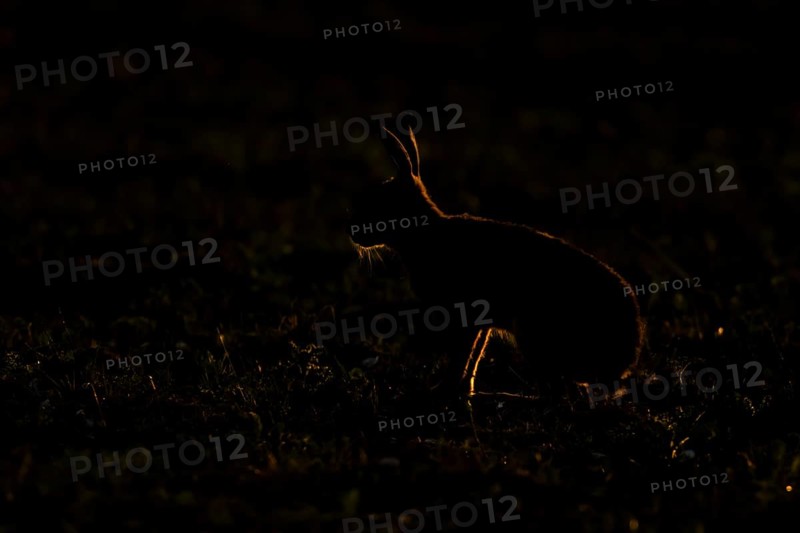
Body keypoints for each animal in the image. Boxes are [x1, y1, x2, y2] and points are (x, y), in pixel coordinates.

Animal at [347, 127, 646, 400]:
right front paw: (463, 391)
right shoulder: (482, 322)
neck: (421, 233)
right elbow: (475, 354)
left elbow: (462, 355)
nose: (352, 232)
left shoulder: (464, 313)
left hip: (533, 334)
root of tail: (623, 363)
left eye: (378, 202)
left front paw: (444, 391)